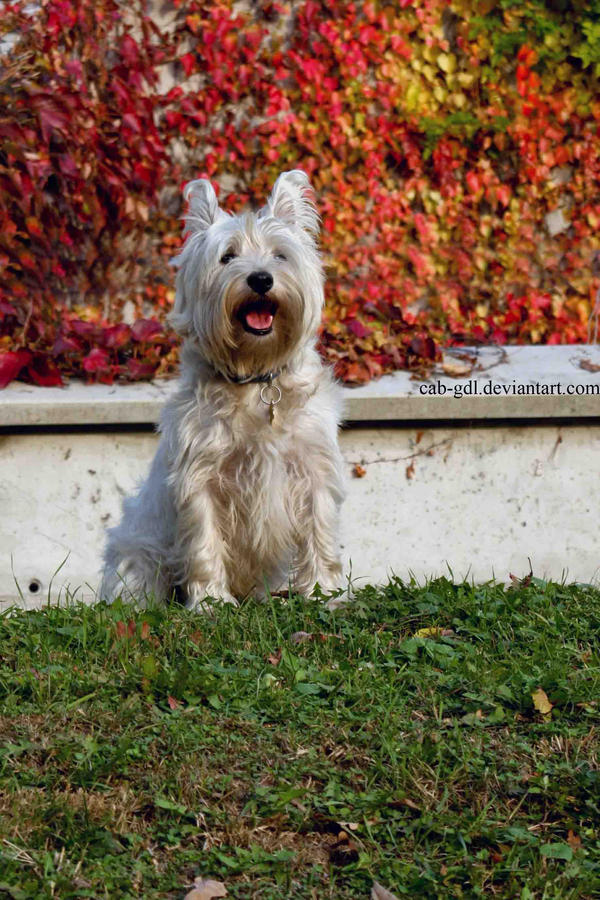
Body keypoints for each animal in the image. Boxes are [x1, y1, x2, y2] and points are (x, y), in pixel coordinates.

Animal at [99, 170, 346, 612]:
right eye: (227, 256)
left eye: (280, 256)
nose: (261, 279)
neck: (256, 376)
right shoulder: (201, 476)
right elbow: (205, 541)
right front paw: (212, 602)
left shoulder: (312, 467)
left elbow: (319, 530)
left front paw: (324, 593)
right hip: (137, 549)